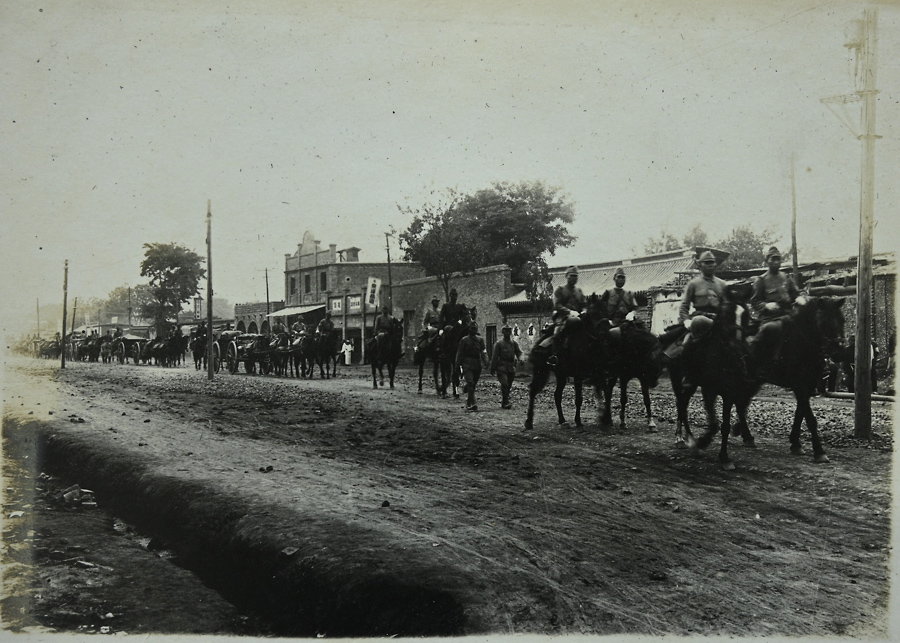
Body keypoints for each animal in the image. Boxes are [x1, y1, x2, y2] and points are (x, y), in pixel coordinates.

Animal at [524, 294, 608, 430]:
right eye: (596, 312)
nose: (605, 331)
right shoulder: (578, 376)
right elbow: (579, 399)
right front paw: (578, 421)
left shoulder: (597, 373)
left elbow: (604, 392)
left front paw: (605, 417)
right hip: (541, 371)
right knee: (533, 390)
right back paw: (529, 421)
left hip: (561, 375)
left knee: (557, 395)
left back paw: (562, 420)